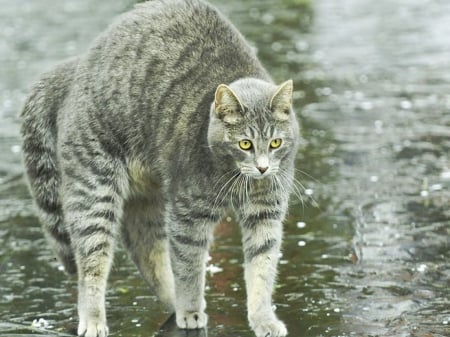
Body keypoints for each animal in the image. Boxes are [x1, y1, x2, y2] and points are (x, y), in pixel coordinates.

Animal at [22, 0, 298, 336]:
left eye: (275, 143)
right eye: (245, 144)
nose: (262, 169)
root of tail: (77, 66)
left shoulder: (265, 212)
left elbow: (262, 269)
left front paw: (263, 319)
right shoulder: (189, 214)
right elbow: (189, 266)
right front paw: (190, 309)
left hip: (146, 198)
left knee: (146, 251)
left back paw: (172, 300)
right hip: (95, 193)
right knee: (91, 264)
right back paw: (96, 318)